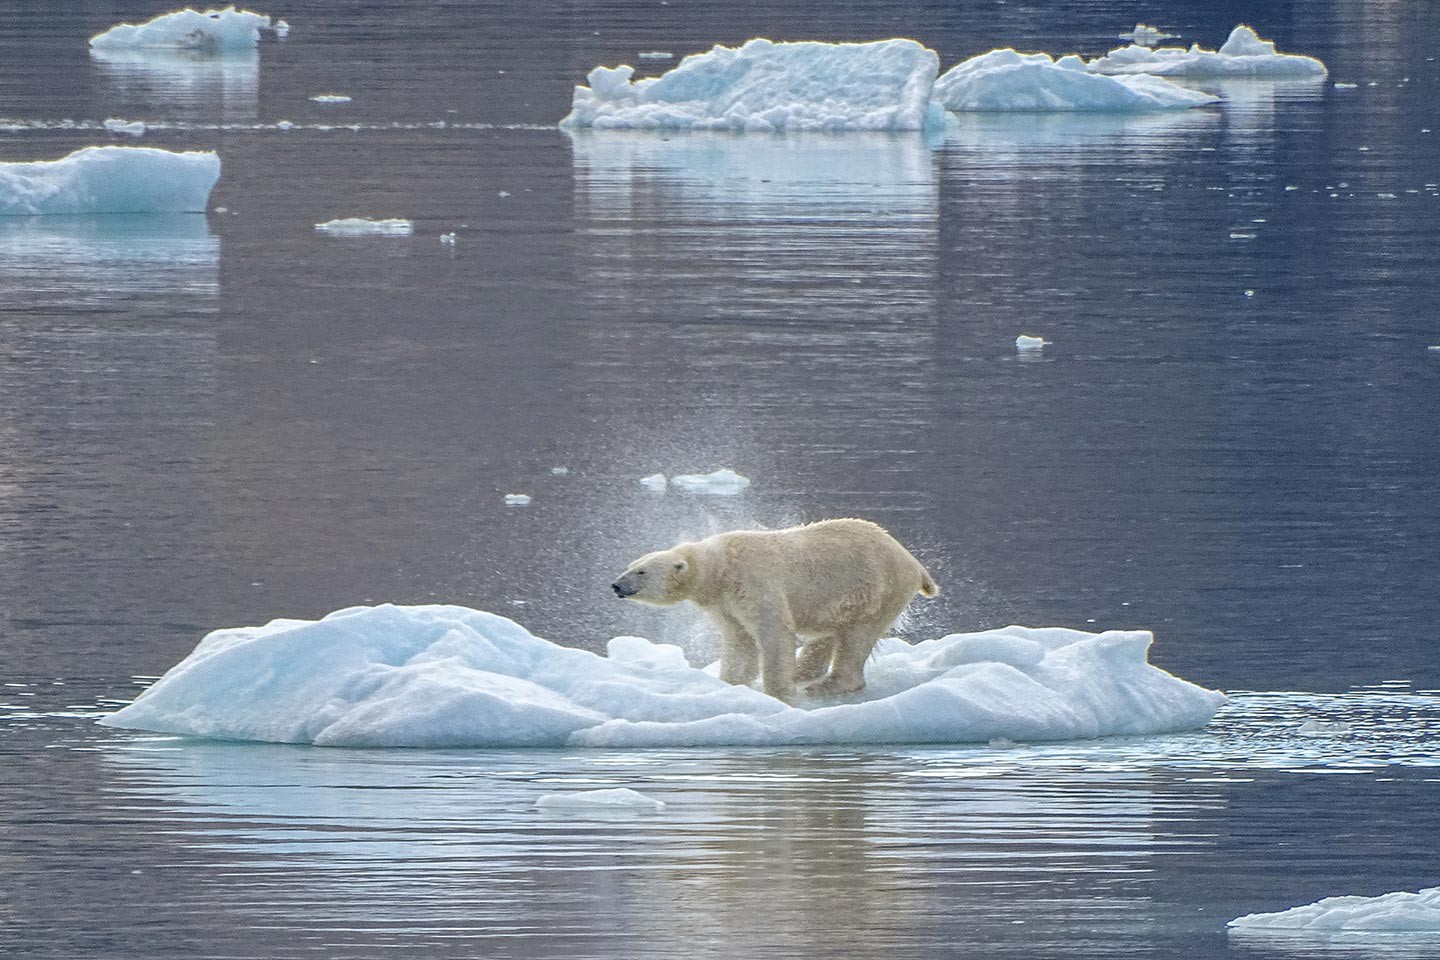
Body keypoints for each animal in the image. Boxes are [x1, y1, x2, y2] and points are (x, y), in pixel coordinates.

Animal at [610, 521, 938, 702]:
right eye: (630, 565)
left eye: (641, 572)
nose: (616, 585)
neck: (720, 567)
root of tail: (914, 562)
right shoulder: (724, 603)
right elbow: (739, 641)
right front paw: (730, 683)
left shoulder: (753, 581)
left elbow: (773, 632)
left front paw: (778, 692)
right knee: (832, 633)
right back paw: (806, 674)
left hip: (878, 588)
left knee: (856, 637)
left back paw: (822, 686)